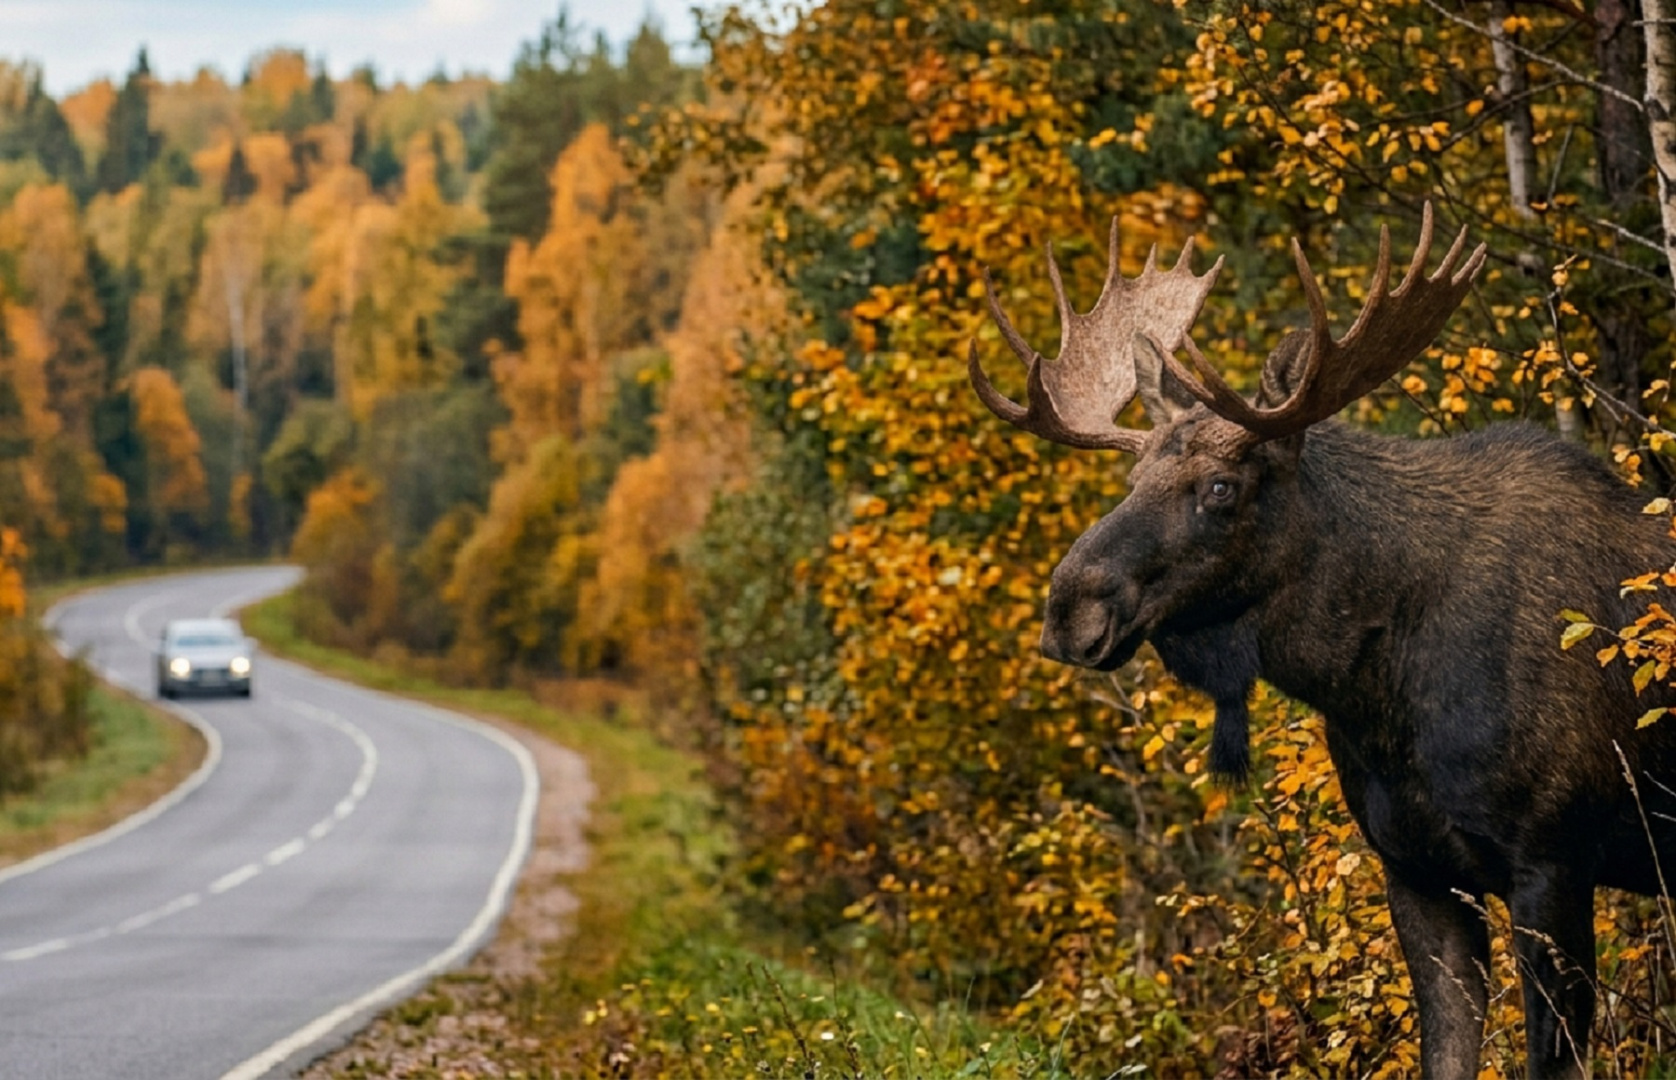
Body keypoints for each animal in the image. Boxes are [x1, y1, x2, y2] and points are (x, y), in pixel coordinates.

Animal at [967, 204, 1676, 1079]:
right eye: (1131, 484)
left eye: (1221, 488)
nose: (1069, 608)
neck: (1380, 699)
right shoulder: (1414, 870)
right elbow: (1445, 1055)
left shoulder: (1554, 859)